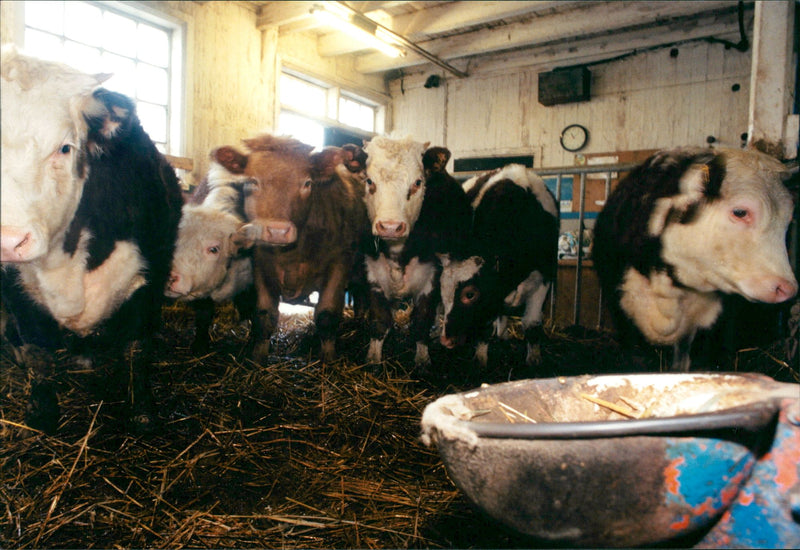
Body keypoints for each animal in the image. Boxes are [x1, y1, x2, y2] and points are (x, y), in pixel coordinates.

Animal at [0, 47, 183, 433]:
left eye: (65, 148)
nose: (8, 241)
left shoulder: (150, 273)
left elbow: (136, 348)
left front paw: (142, 412)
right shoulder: (13, 284)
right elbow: (38, 350)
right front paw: (41, 411)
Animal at [212, 135, 369, 363]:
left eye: (307, 183)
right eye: (252, 181)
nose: (278, 231)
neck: (292, 256)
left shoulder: (340, 262)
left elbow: (327, 314)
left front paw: (328, 359)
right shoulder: (261, 264)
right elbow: (264, 315)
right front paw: (257, 358)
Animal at [361, 137, 472, 367]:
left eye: (418, 183)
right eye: (369, 181)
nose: (390, 226)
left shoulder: (432, 277)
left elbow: (422, 321)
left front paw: (422, 360)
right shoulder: (372, 271)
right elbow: (380, 319)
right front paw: (374, 358)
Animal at [438, 164, 559, 367]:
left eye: (470, 294)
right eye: (442, 291)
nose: (446, 340)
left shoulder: (544, 276)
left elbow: (532, 324)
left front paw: (534, 359)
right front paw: (480, 359)